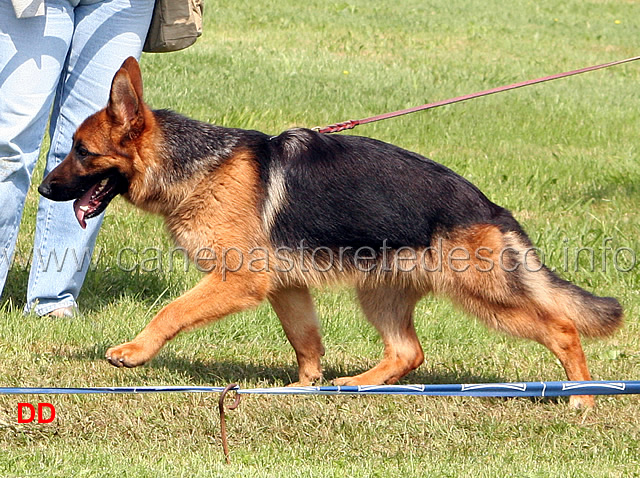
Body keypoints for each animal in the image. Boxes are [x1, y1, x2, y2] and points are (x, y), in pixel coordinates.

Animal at [37, 56, 624, 408]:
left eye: (81, 151)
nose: (42, 188)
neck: (197, 166)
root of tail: (490, 207)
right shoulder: (287, 288)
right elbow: (305, 341)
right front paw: (301, 389)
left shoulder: (236, 282)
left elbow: (172, 311)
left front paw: (135, 352)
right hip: (379, 291)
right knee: (408, 352)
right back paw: (357, 385)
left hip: (484, 296)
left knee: (562, 329)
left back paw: (582, 397)